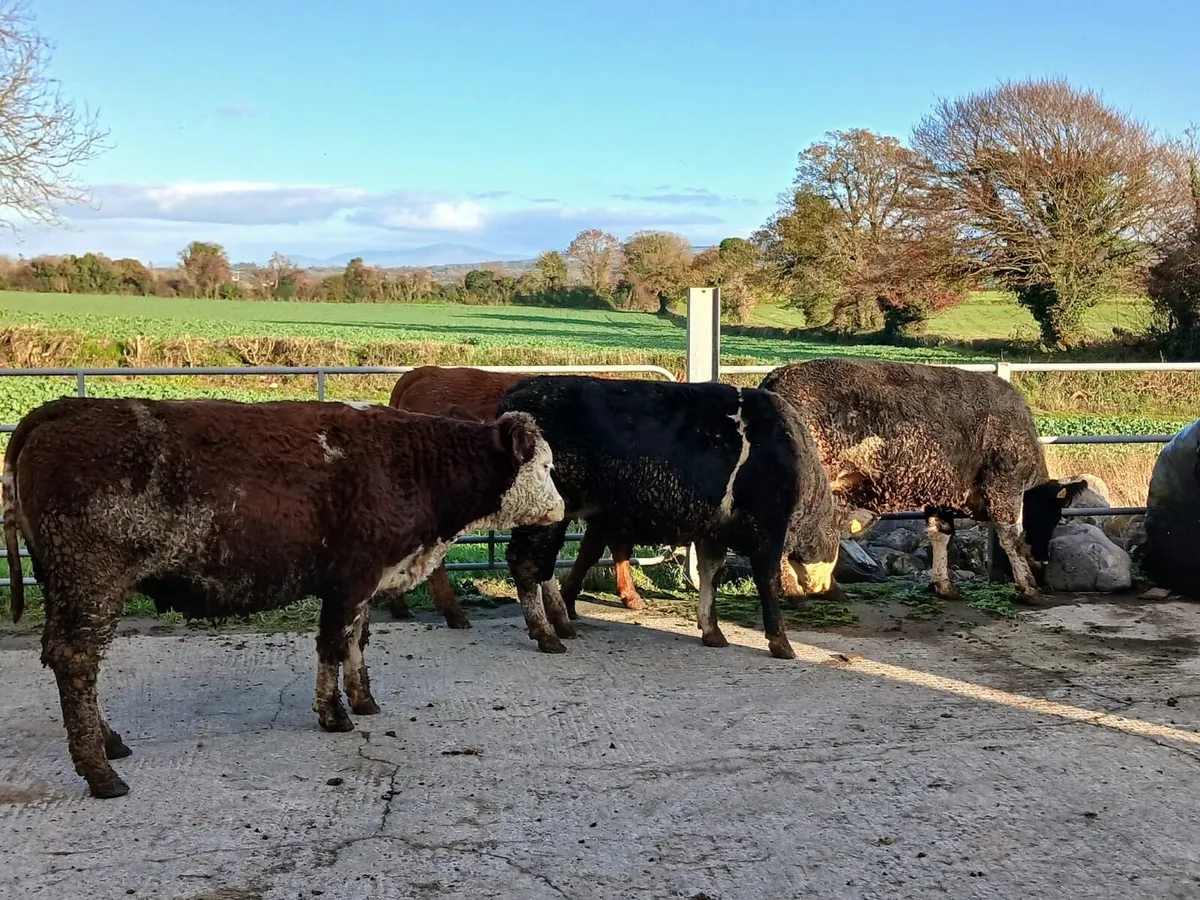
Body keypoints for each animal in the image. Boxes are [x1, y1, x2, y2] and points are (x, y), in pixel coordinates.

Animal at [2, 396, 563, 799]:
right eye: (547, 467)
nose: (560, 508)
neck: (411, 463)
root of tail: (64, 408)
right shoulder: (351, 576)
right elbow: (334, 644)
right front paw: (333, 713)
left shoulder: (365, 581)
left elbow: (357, 640)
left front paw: (363, 700)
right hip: (90, 581)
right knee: (76, 660)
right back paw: (99, 772)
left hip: (69, 584)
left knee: (67, 658)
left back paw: (110, 743)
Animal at [494, 375, 845, 660]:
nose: (833, 590)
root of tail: (520, 392)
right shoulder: (767, 528)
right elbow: (768, 582)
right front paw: (781, 642)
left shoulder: (713, 533)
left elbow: (710, 575)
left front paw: (712, 631)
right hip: (543, 513)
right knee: (526, 562)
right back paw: (546, 635)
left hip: (556, 515)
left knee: (543, 565)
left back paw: (562, 624)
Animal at [757, 358, 1088, 603]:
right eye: (1050, 515)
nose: (1044, 557)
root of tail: (775, 378)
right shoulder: (1003, 486)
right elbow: (1011, 537)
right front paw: (1028, 588)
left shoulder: (940, 494)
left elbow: (940, 534)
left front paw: (945, 586)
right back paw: (799, 591)